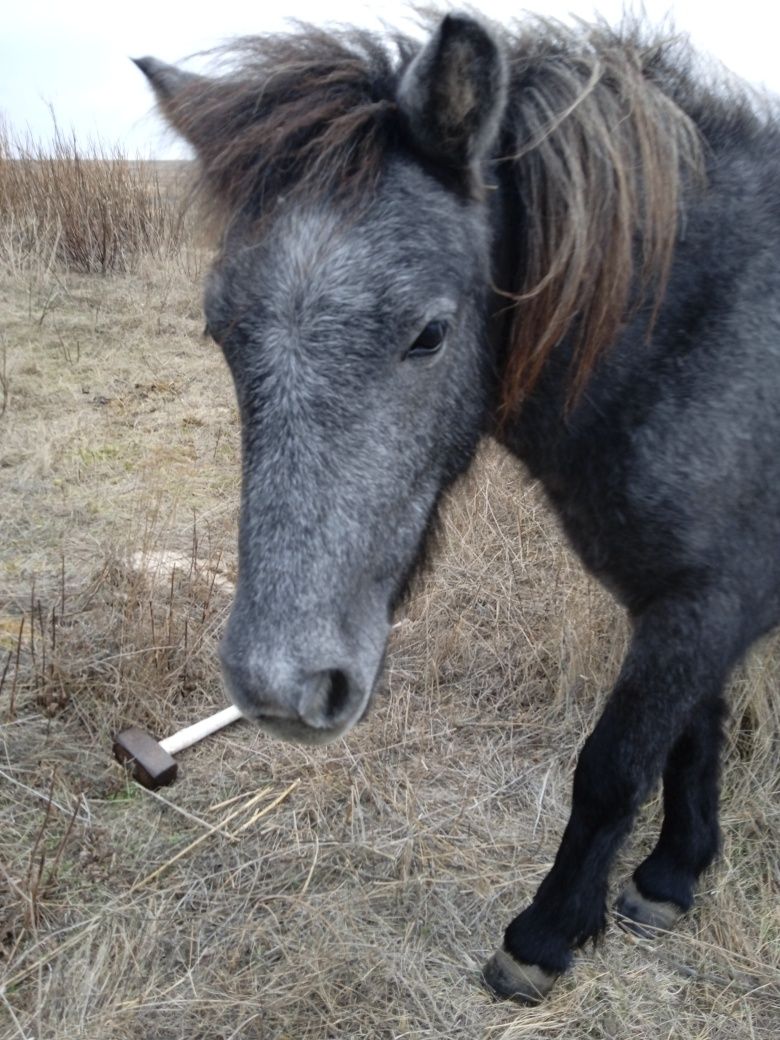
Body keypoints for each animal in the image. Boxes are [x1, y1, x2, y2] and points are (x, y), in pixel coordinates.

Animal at [136, 12, 780, 1002]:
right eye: (220, 330)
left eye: (430, 333)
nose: (279, 689)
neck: (704, 339)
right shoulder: (683, 605)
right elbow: (690, 739)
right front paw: (673, 877)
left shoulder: (710, 602)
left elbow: (613, 766)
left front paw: (543, 937)